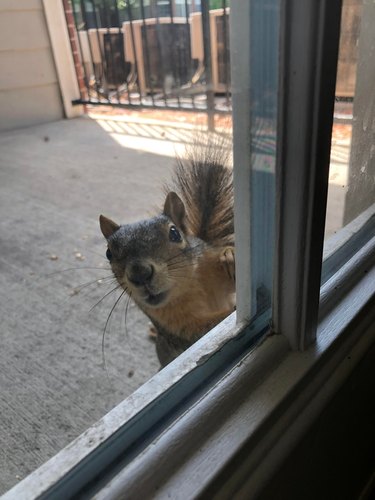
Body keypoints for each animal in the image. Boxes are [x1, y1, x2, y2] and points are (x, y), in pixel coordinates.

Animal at [98, 146, 236, 368]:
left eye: (174, 233)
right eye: (109, 253)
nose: (140, 274)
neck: (188, 287)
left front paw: (229, 255)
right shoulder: (178, 329)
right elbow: (205, 332)